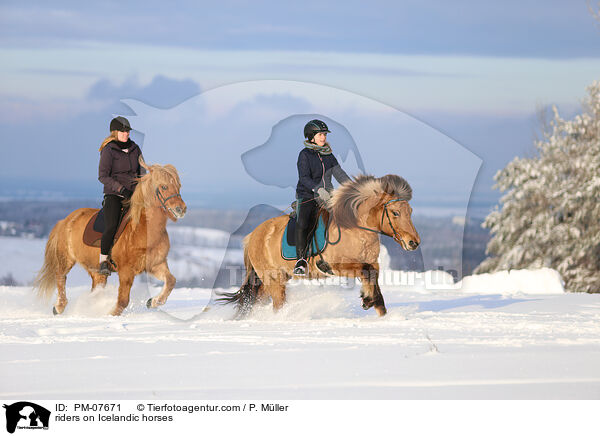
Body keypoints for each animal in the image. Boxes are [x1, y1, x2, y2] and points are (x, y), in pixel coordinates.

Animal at [35, 158, 185, 316]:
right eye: (164, 187)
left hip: (96, 269)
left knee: (95, 287)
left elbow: (171, 280)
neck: (141, 229)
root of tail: (65, 221)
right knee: (61, 277)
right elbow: (123, 300)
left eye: (178, 185)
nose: (181, 209)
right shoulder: (126, 271)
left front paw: (153, 301)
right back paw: (59, 307)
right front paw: (111, 315)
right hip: (66, 259)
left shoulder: (156, 264)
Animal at [218, 174, 420, 316]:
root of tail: (252, 236)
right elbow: (366, 272)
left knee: (253, 301)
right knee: (277, 304)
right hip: (273, 279)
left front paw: (373, 304)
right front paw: (368, 299)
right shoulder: (338, 266)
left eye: (410, 211)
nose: (414, 242)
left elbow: (373, 276)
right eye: (395, 213)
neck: (355, 228)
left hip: (270, 280)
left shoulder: (372, 262)